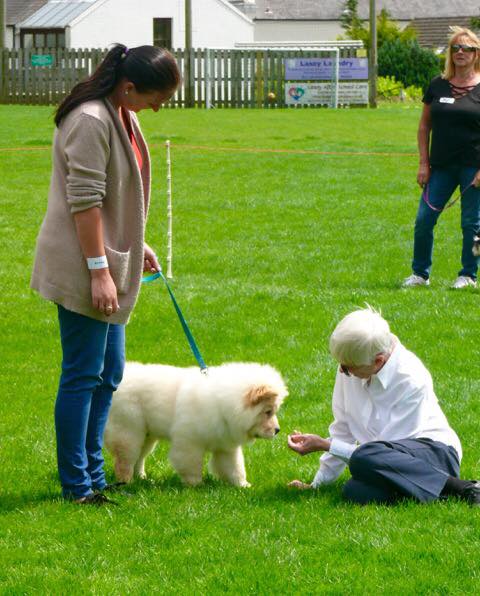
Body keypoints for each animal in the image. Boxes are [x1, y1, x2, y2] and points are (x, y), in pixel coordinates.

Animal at [104, 362, 288, 487]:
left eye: (274, 411)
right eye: (268, 412)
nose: (278, 430)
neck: (223, 405)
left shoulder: (226, 446)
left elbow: (235, 467)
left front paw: (243, 485)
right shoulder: (189, 442)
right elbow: (191, 465)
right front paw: (196, 485)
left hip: (147, 436)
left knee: (139, 458)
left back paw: (142, 478)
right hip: (129, 432)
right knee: (125, 460)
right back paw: (126, 482)